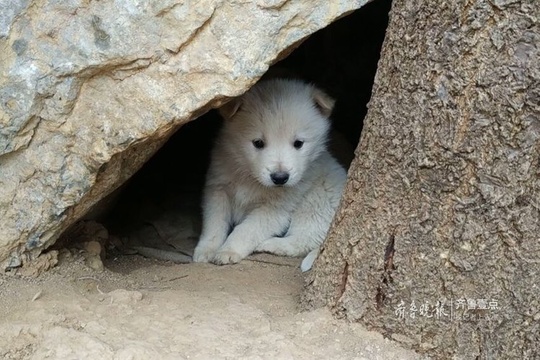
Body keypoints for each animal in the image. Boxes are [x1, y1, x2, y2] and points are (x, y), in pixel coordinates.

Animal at [194, 79, 346, 270]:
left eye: (298, 143)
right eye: (258, 143)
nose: (280, 178)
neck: (250, 177)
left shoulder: (274, 208)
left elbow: (245, 230)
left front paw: (228, 251)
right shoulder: (218, 190)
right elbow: (214, 224)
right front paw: (206, 250)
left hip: (317, 202)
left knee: (303, 241)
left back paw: (269, 244)